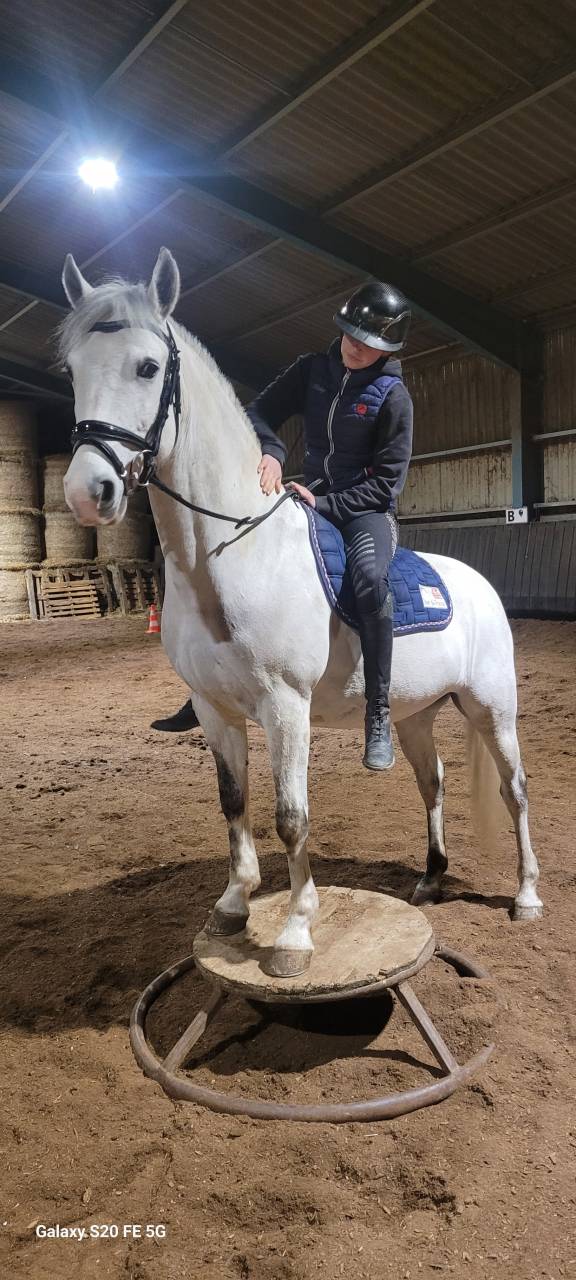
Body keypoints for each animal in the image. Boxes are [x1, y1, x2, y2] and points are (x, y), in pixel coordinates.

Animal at [60, 247, 543, 978]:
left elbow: (292, 814)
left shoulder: (286, 706)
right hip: (415, 714)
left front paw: (293, 934)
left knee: (515, 790)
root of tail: (477, 584)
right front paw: (233, 905)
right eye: (72, 370)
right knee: (431, 784)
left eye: (146, 367)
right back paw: (431, 878)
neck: (230, 556)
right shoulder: (214, 708)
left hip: (492, 707)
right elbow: (233, 801)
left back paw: (526, 896)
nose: (90, 492)